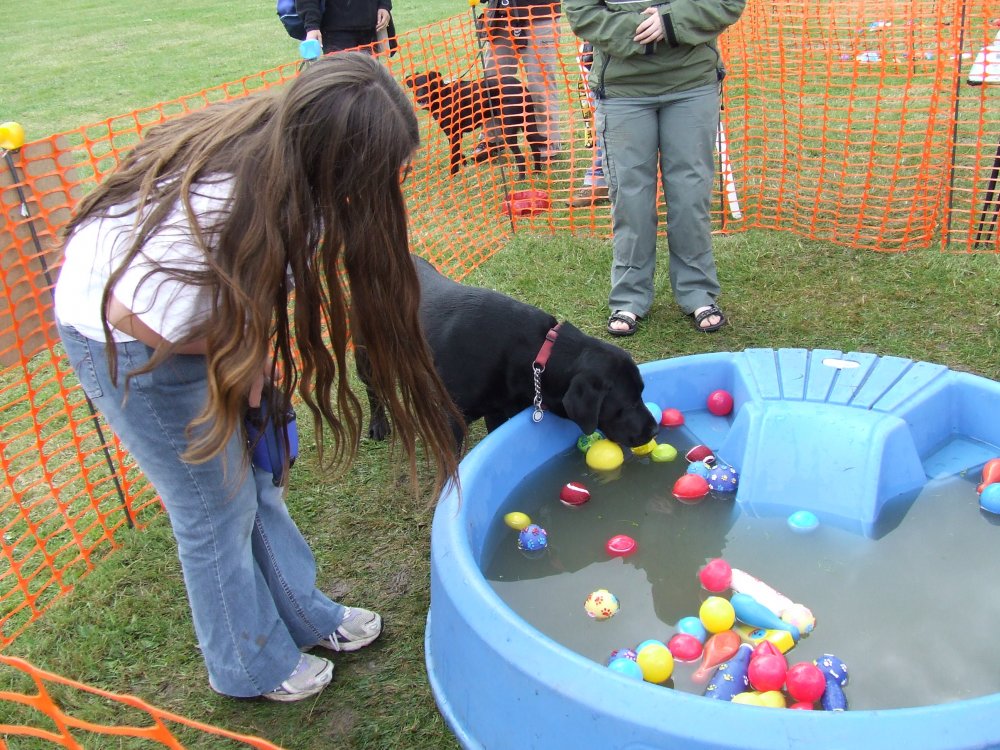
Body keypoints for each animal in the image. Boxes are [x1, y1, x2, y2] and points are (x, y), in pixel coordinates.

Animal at [356, 258, 660, 452]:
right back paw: (378, 425)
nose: (654, 431)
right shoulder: (452, 420)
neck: (534, 353)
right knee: (373, 387)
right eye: (628, 402)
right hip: (366, 354)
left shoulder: (498, 410)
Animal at [404, 69, 548, 178]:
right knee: (535, 149)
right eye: (416, 86)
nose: (420, 99)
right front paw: (463, 163)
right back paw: (537, 171)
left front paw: (452, 177)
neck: (442, 95)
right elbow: (458, 153)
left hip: (508, 130)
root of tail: (520, 86)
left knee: (521, 158)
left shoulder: (454, 133)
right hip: (527, 125)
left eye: (428, 85)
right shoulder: (453, 134)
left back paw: (521, 180)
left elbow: (453, 157)